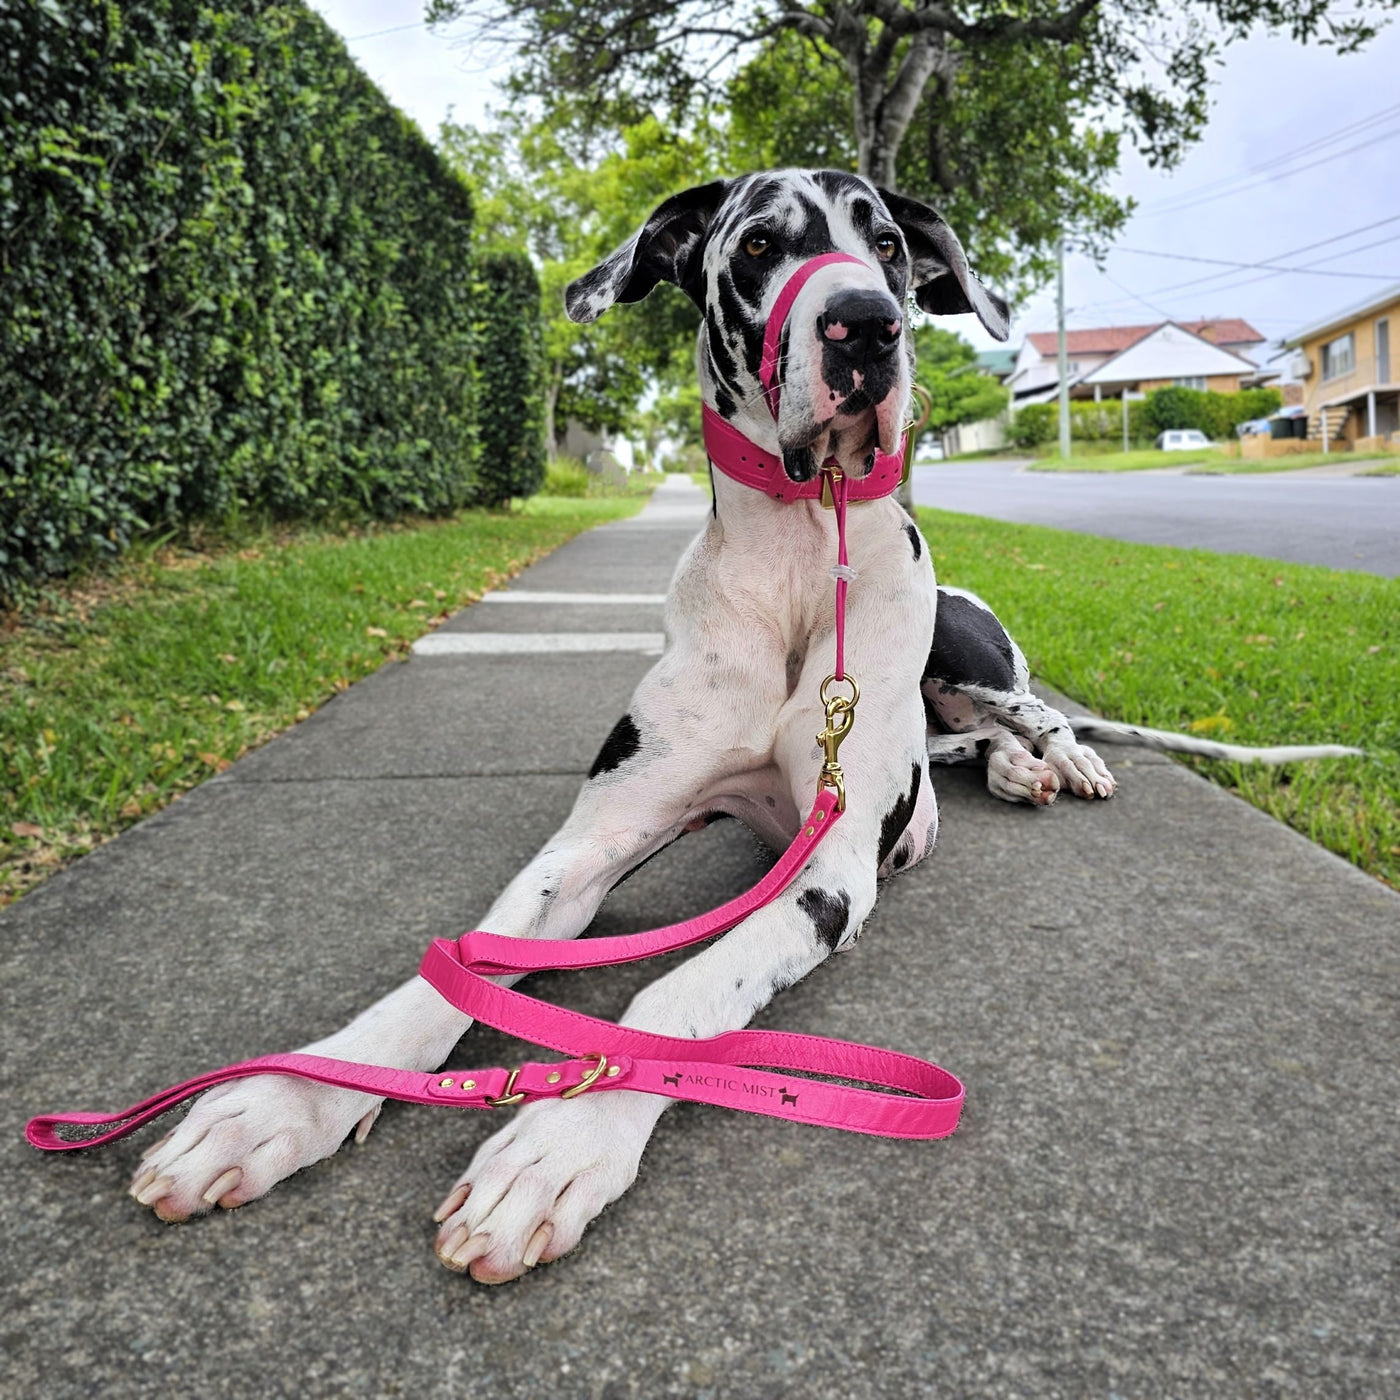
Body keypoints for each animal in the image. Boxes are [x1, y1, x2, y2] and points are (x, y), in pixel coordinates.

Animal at [128, 166, 1355, 1282]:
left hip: (961, 647)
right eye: (759, 244)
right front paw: (291, 1096)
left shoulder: (825, 879)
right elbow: (462, 967)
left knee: (1033, 707)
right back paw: (1015, 775)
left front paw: (560, 1140)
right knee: (972, 746)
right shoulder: (592, 842)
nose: (868, 323)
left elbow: (674, 995)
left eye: (888, 246)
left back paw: (1066, 762)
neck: (801, 559)